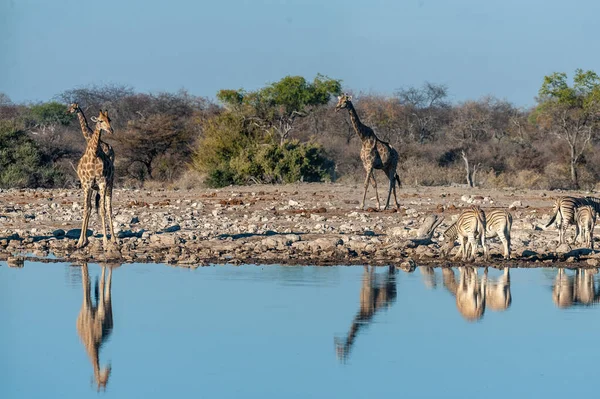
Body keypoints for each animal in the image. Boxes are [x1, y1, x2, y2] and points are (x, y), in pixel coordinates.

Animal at [76, 108, 116, 247]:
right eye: (100, 120)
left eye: (109, 120)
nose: (111, 130)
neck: (93, 154)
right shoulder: (87, 185)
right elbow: (86, 209)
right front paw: (81, 241)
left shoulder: (102, 183)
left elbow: (103, 210)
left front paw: (105, 240)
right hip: (94, 188)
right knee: (91, 207)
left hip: (110, 185)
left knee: (109, 208)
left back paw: (114, 239)